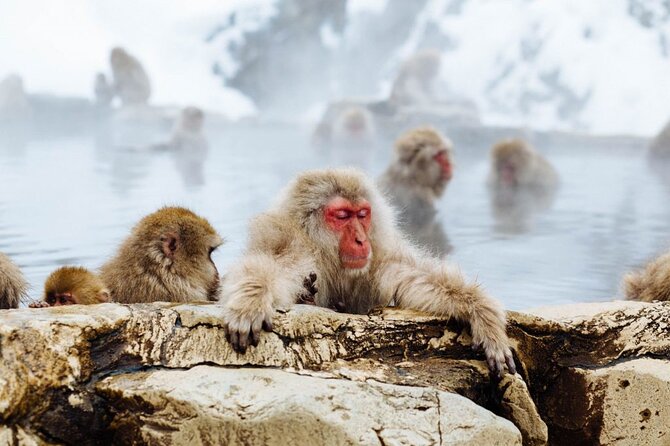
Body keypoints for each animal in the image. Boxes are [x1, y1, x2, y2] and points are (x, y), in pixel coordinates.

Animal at [220, 168, 516, 377]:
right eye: (342, 215)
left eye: (362, 214)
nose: (361, 240)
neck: (326, 255)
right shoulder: (293, 246)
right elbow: (270, 268)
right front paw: (251, 301)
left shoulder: (378, 257)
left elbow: (414, 279)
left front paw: (482, 314)